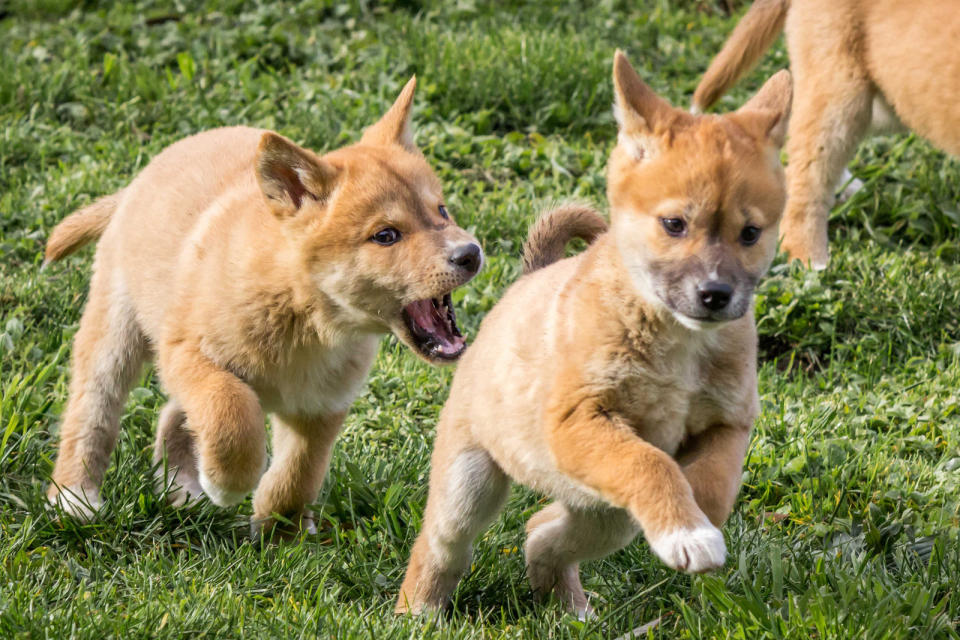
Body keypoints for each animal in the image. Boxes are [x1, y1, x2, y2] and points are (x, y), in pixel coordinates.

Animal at [41, 76, 484, 536]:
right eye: (386, 236)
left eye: (442, 210)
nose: (470, 253)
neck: (305, 321)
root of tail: (136, 183)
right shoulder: (189, 354)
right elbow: (232, 414)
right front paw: (227, 484)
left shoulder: (321, 407)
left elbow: (298, 475)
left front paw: (281, 533)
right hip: (113, 337)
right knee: (90, 418)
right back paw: (76, 497)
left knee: (171, 413)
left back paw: (181, 486)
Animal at [394, 52, 792, 616]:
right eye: (674, 224)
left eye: (751, 233)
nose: (715, 294)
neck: (676, 341)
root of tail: (527, 280)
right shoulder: (578, 418)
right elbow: (648, 460)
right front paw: (687, 527)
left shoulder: (728, 424)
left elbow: (711, 487)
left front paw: (690, 522)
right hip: (466, 485)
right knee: (442, 545)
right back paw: (420, 611)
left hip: (602, 518)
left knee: (544, 530)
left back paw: (567, 603)